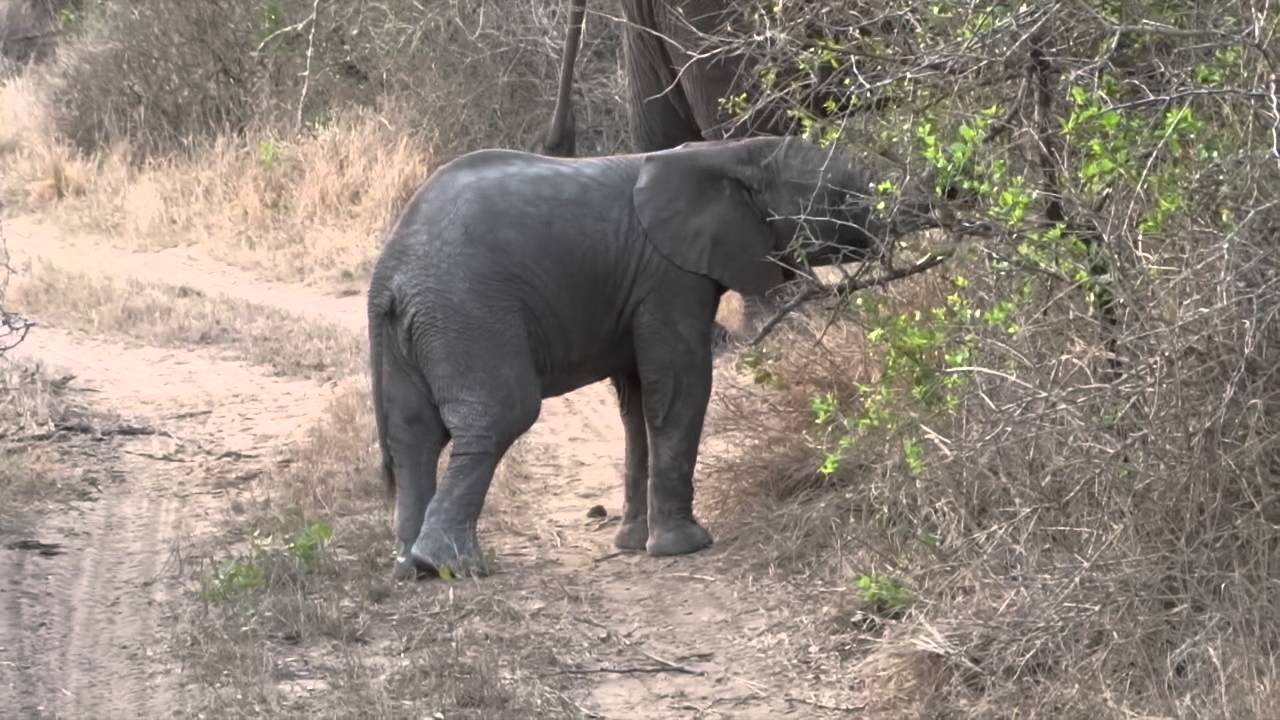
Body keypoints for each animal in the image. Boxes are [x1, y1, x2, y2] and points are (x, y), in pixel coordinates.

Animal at [368, 135, 900, 579]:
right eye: (841, 197)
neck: (725, 151)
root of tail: (388, 274)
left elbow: (638, 402)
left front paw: (632, 543)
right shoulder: (669, 275)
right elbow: (681, 386)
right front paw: (685, 547)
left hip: (416, 327)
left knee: (413, 435)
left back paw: (410, 568)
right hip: (465, 311)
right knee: (499, 415)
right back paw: (451, 566)